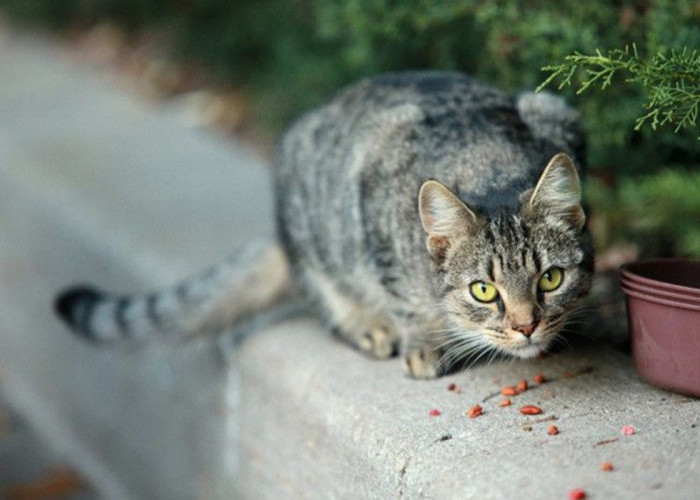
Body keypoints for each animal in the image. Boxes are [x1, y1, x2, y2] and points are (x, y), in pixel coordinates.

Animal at [54, 71, 592, 378]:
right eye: (483, 291)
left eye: (550, 279)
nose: (527, 326)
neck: (487, 160)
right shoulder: (371, 203)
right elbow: (404, 297)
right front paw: (424, 340)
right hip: (310, 222)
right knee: (323, 293)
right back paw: (365, 322)